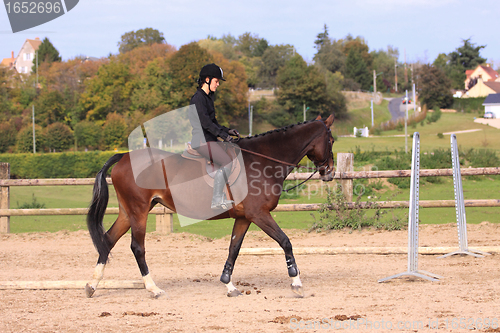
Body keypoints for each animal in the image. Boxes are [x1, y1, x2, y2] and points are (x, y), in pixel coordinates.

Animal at [86, 113, 336, 296]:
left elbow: (234, 248)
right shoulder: (259, 214)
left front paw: (229, 284)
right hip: (139, 211)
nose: (330, 173)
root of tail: (123, 156)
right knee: (137, 247)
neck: (263, 160)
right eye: (331, 141)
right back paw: (153, 288)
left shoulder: (244, 217)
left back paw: (92, 285)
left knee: (108, 240)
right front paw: (296, 282)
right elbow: (285, 242)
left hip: (127, 212)